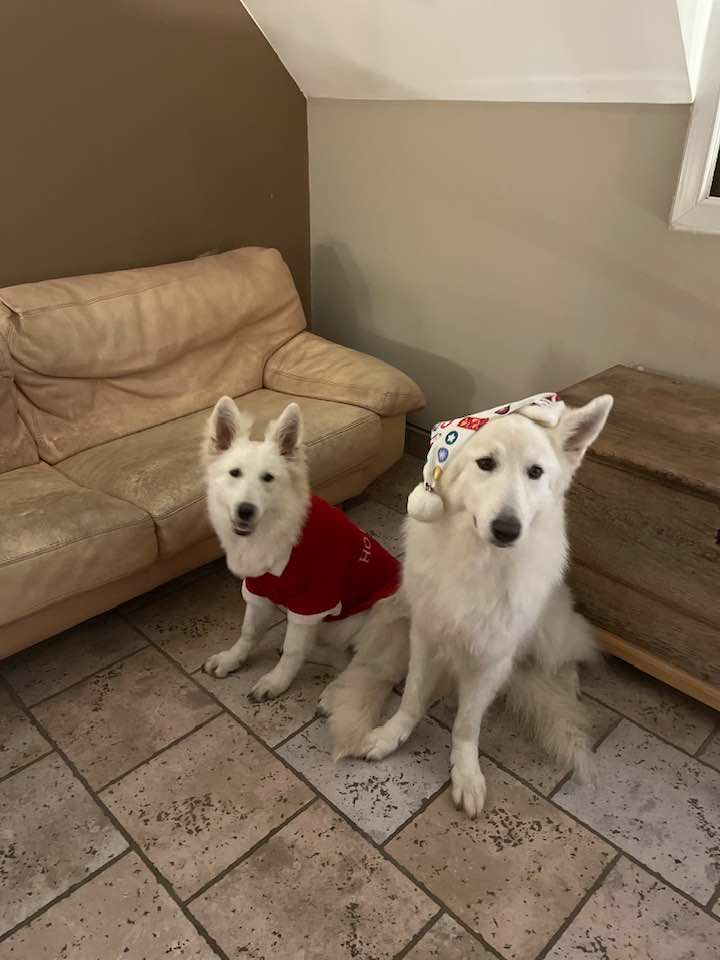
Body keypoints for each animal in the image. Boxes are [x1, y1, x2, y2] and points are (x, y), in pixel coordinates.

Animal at [202, 397, 401, 700]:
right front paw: (232, 659)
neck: (279, 534)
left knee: (358, 662)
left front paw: (276, 681)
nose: (245, 511)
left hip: (381, 612)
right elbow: (249, 632)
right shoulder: (258, 590)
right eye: (234, 473)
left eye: (268, 478)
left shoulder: (312, 601)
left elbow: (294, 651)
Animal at [323, 393, 613, 819]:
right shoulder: (425, 636)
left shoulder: (490, 659)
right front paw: (393, 734)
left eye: (535, 472)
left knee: (565, 658)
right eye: (486, 464)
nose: (507, 529)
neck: (481, 561)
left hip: (550, 633)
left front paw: (465, 774)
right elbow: (411, 697)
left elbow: (466, 725)